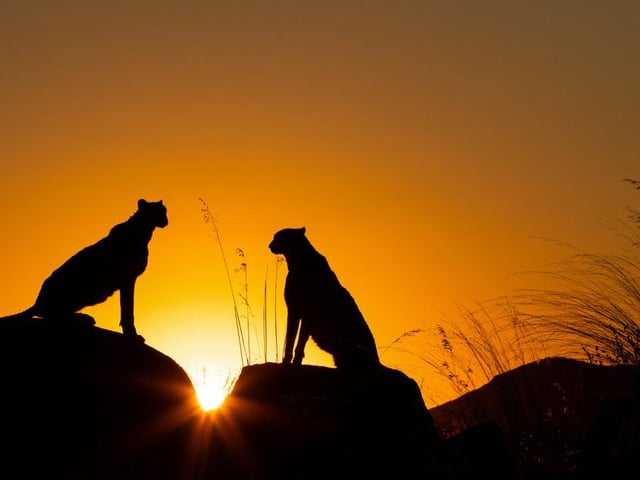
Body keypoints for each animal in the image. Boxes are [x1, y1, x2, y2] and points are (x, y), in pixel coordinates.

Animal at [6, 199, 168, 339]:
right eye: (157, 211)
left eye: (164, 211)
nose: (166, 220)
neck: (142, 231)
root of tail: (38, 301)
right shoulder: (128, 279)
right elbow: (127, 309)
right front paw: (132, 334)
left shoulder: (128, 280)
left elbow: (127, 308)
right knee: (51, 314)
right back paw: (82, 318)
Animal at [269, 227, 380, 371]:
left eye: (278, 237)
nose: (270, 245)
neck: (301, 262)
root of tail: (379, 363)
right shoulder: (295, 311)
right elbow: (292, 339)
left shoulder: (304, 314)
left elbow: (298, 341)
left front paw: (292, 362)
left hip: (348, 344)